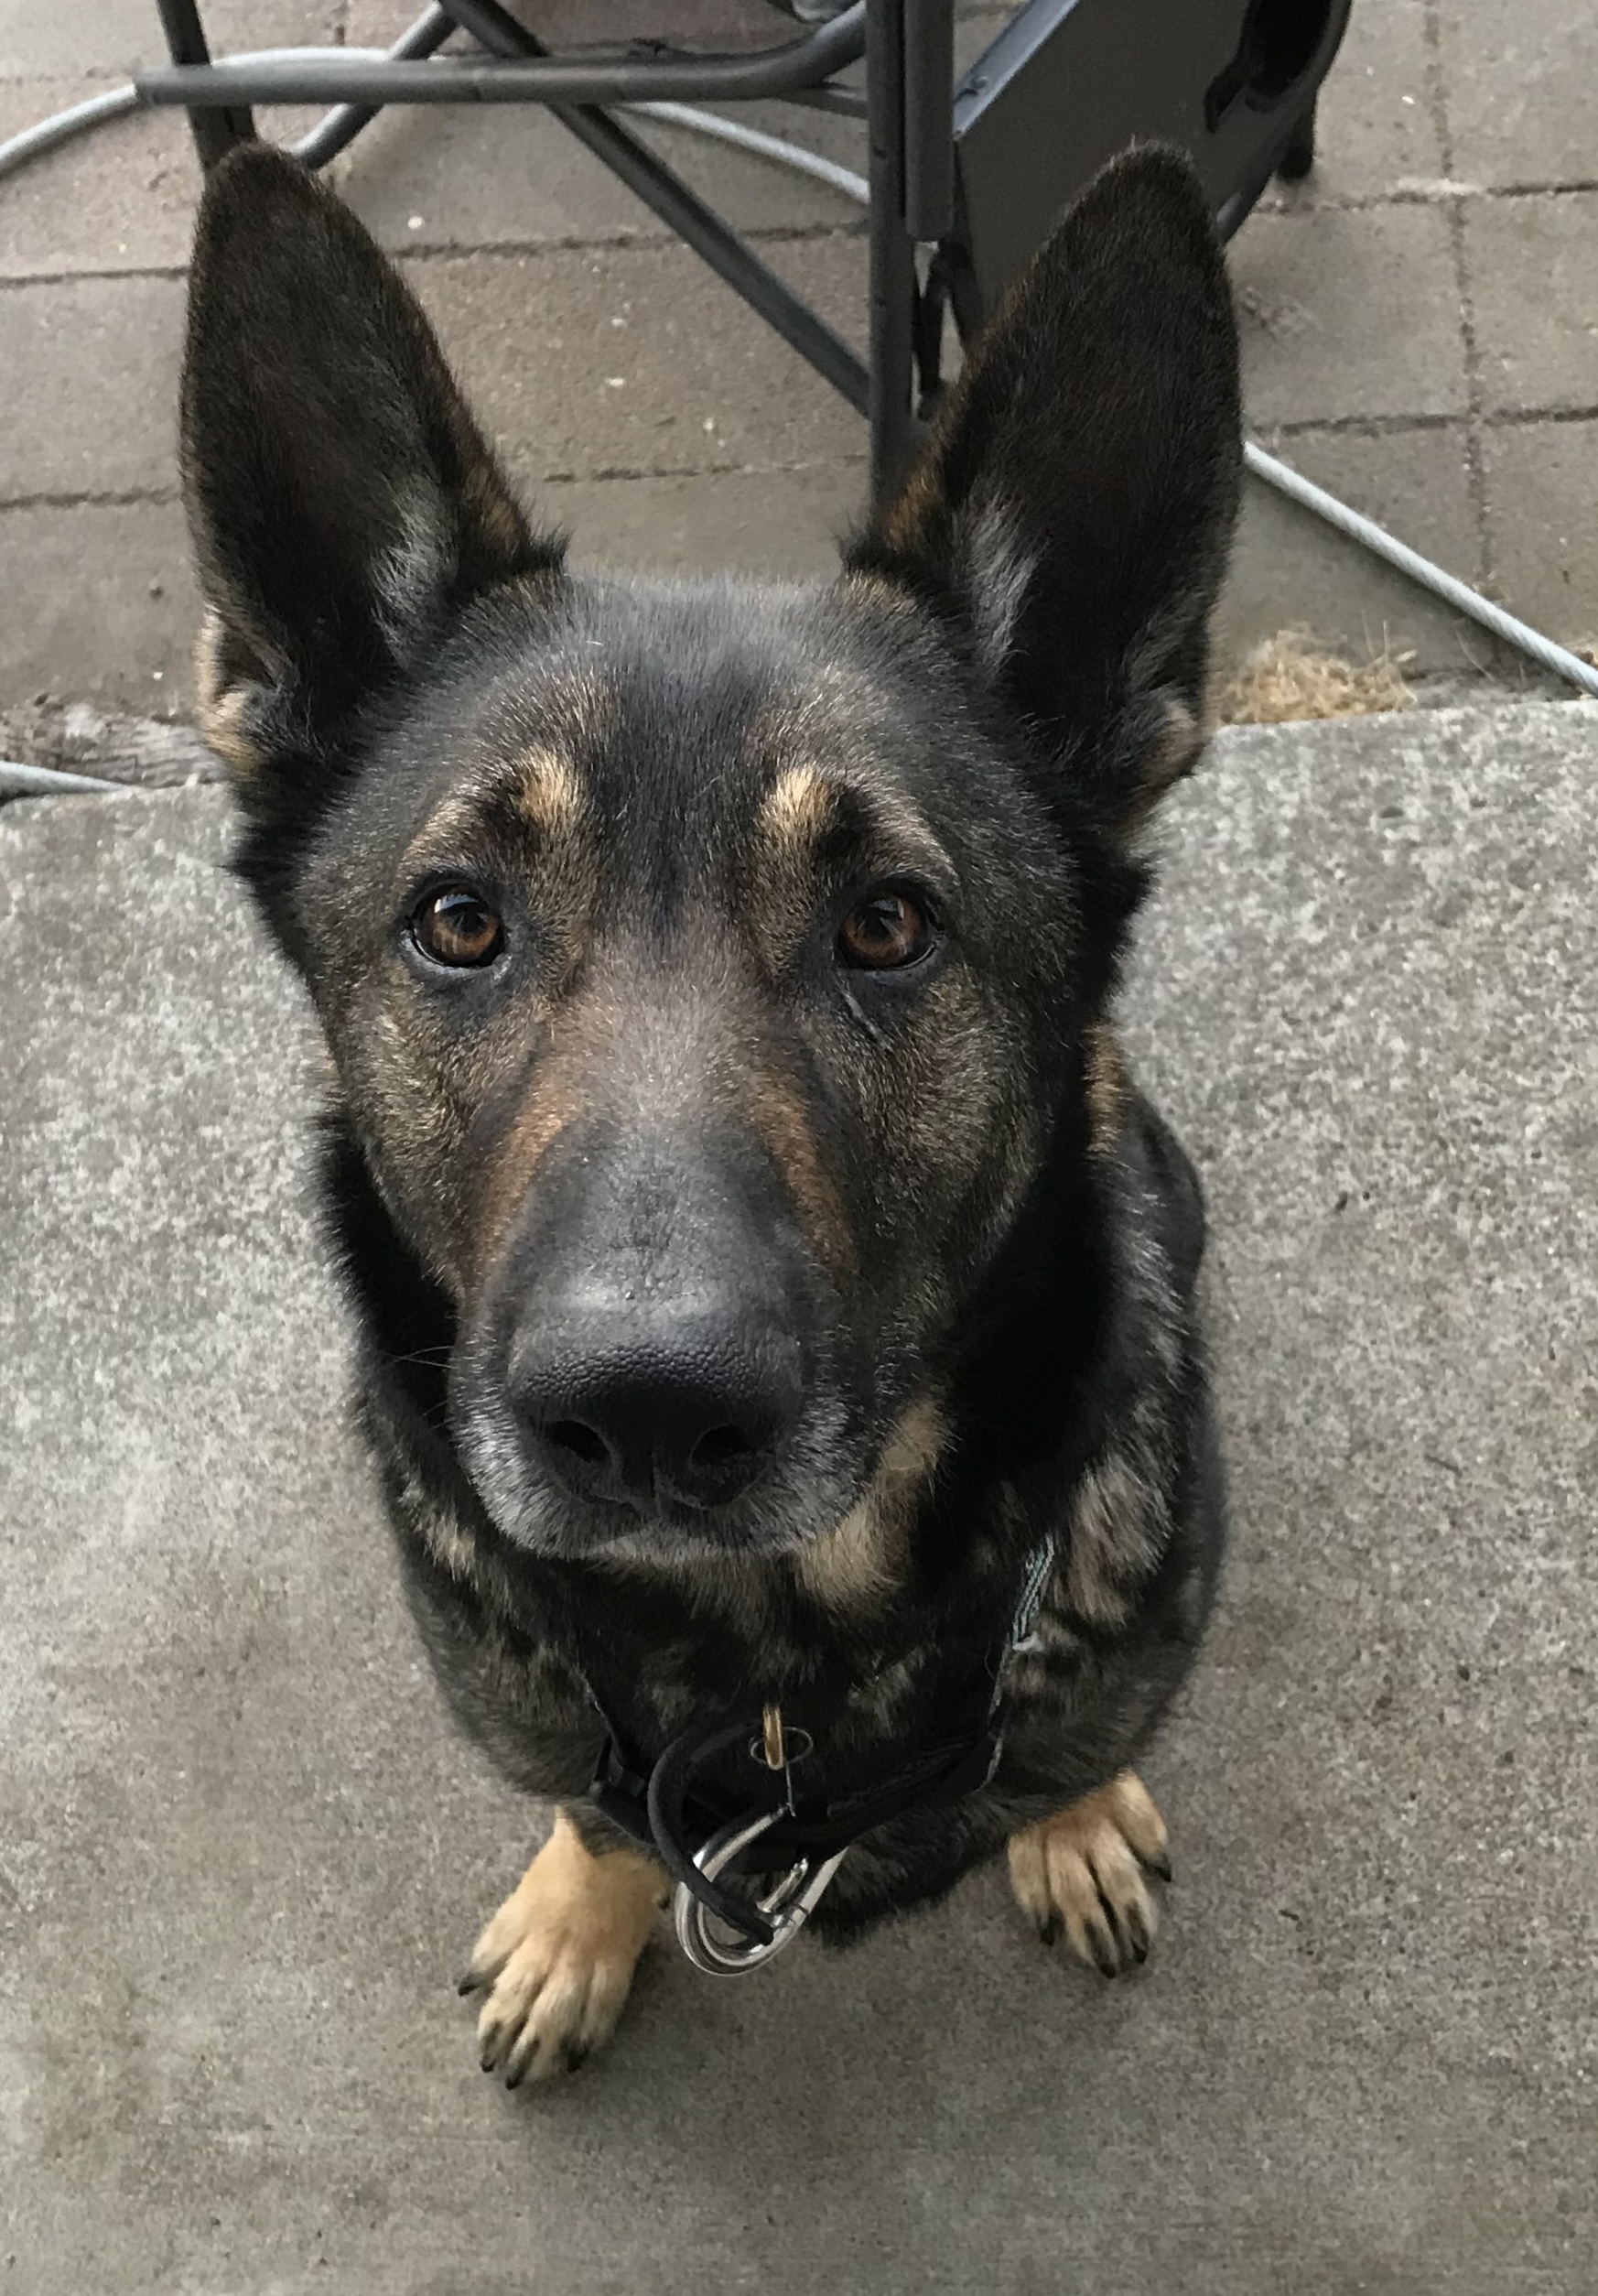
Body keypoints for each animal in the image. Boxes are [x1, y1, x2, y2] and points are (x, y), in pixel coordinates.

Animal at [179, 136, 1239, 2082]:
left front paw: (1071, 1811)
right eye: (459, 920)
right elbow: (603, 1815)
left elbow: (1078, 1738)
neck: (774, 1679)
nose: (649, 1413)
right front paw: (578, 1911)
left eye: (886, 922)